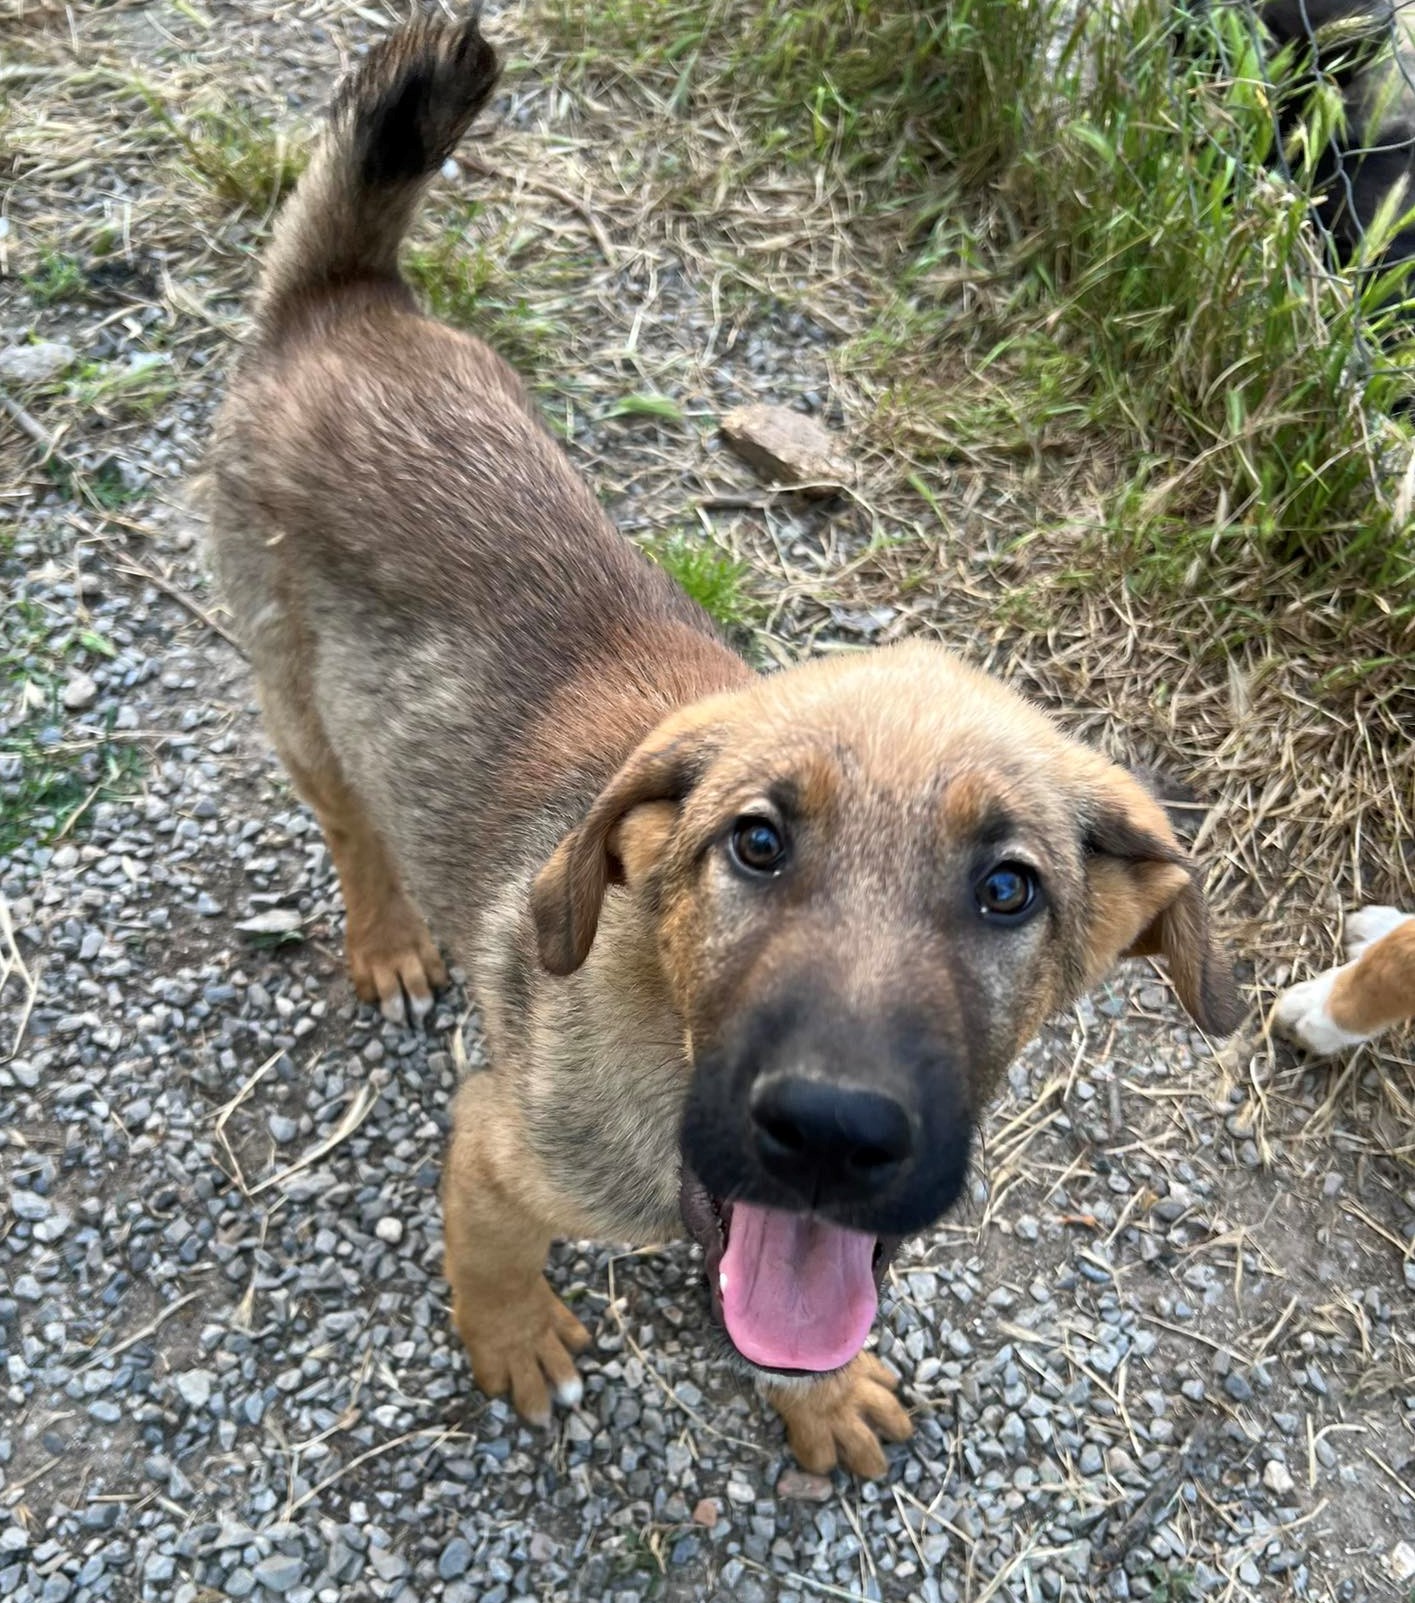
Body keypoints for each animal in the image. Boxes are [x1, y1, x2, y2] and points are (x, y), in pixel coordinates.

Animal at [205, 9, 1243, 1474]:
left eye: (1008, 888)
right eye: (753, 843)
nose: (832, 1132)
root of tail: (343, 301)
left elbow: (801, 1309)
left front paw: (822, 1389)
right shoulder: (496, 1140)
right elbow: (489, 1251)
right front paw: (513, 1338)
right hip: (294, 690)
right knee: (351, 822)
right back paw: (391, 939)